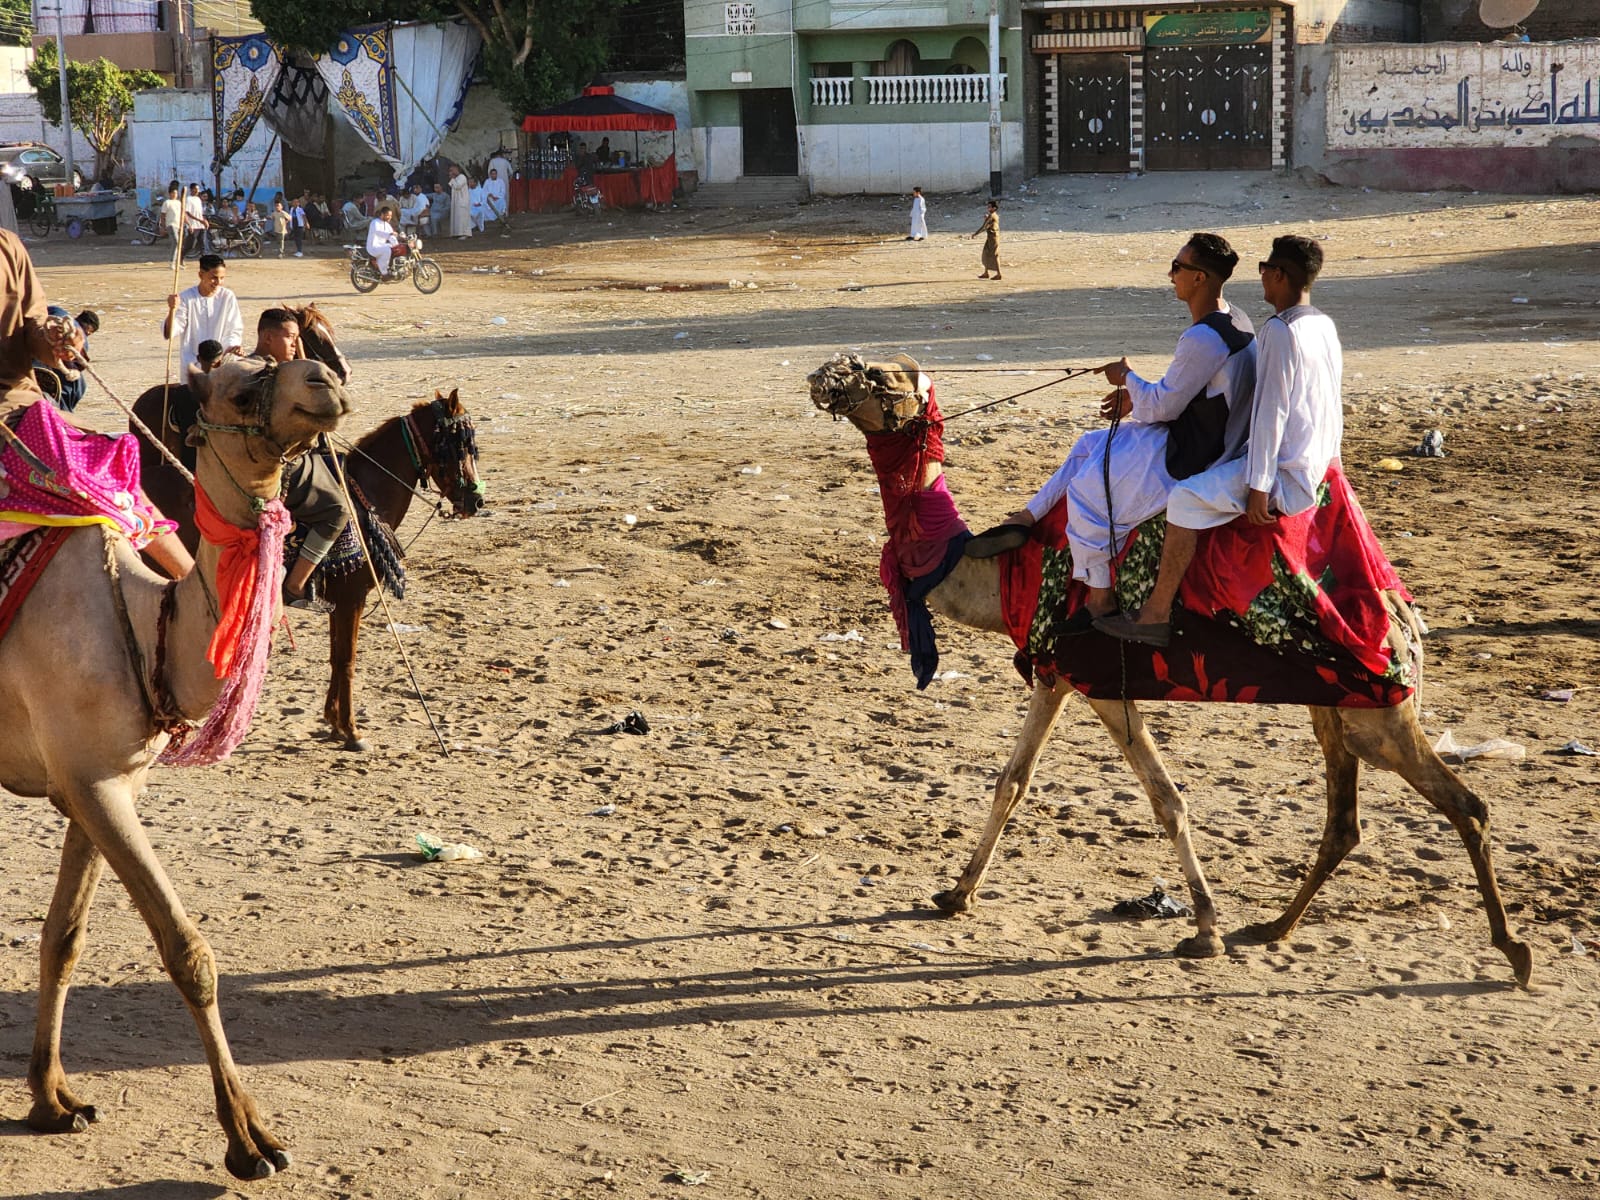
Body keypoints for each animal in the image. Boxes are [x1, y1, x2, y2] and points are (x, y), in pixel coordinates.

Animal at [0, 360, 352, 1184]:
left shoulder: (98, 782)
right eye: (242, 385)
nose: (327, 379)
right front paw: (249, 1142)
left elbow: (64, 937)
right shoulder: (96, 786)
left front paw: (52, 1100)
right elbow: (189, 951)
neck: (142, 623)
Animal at [812, 355, 1536, 985]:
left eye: (879, 374)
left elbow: (1167, 800)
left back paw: (1513, 951)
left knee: (1464, 806)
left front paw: (1206, 928)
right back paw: (1273, 928)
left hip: (1381, 712)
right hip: (1334, 704)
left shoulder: (1101, 681)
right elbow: (1011, 782)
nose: (825, 375)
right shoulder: (1055, 674)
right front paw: (954, 894)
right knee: (1345, 821)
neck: (1007, 572)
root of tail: (1403, 615)